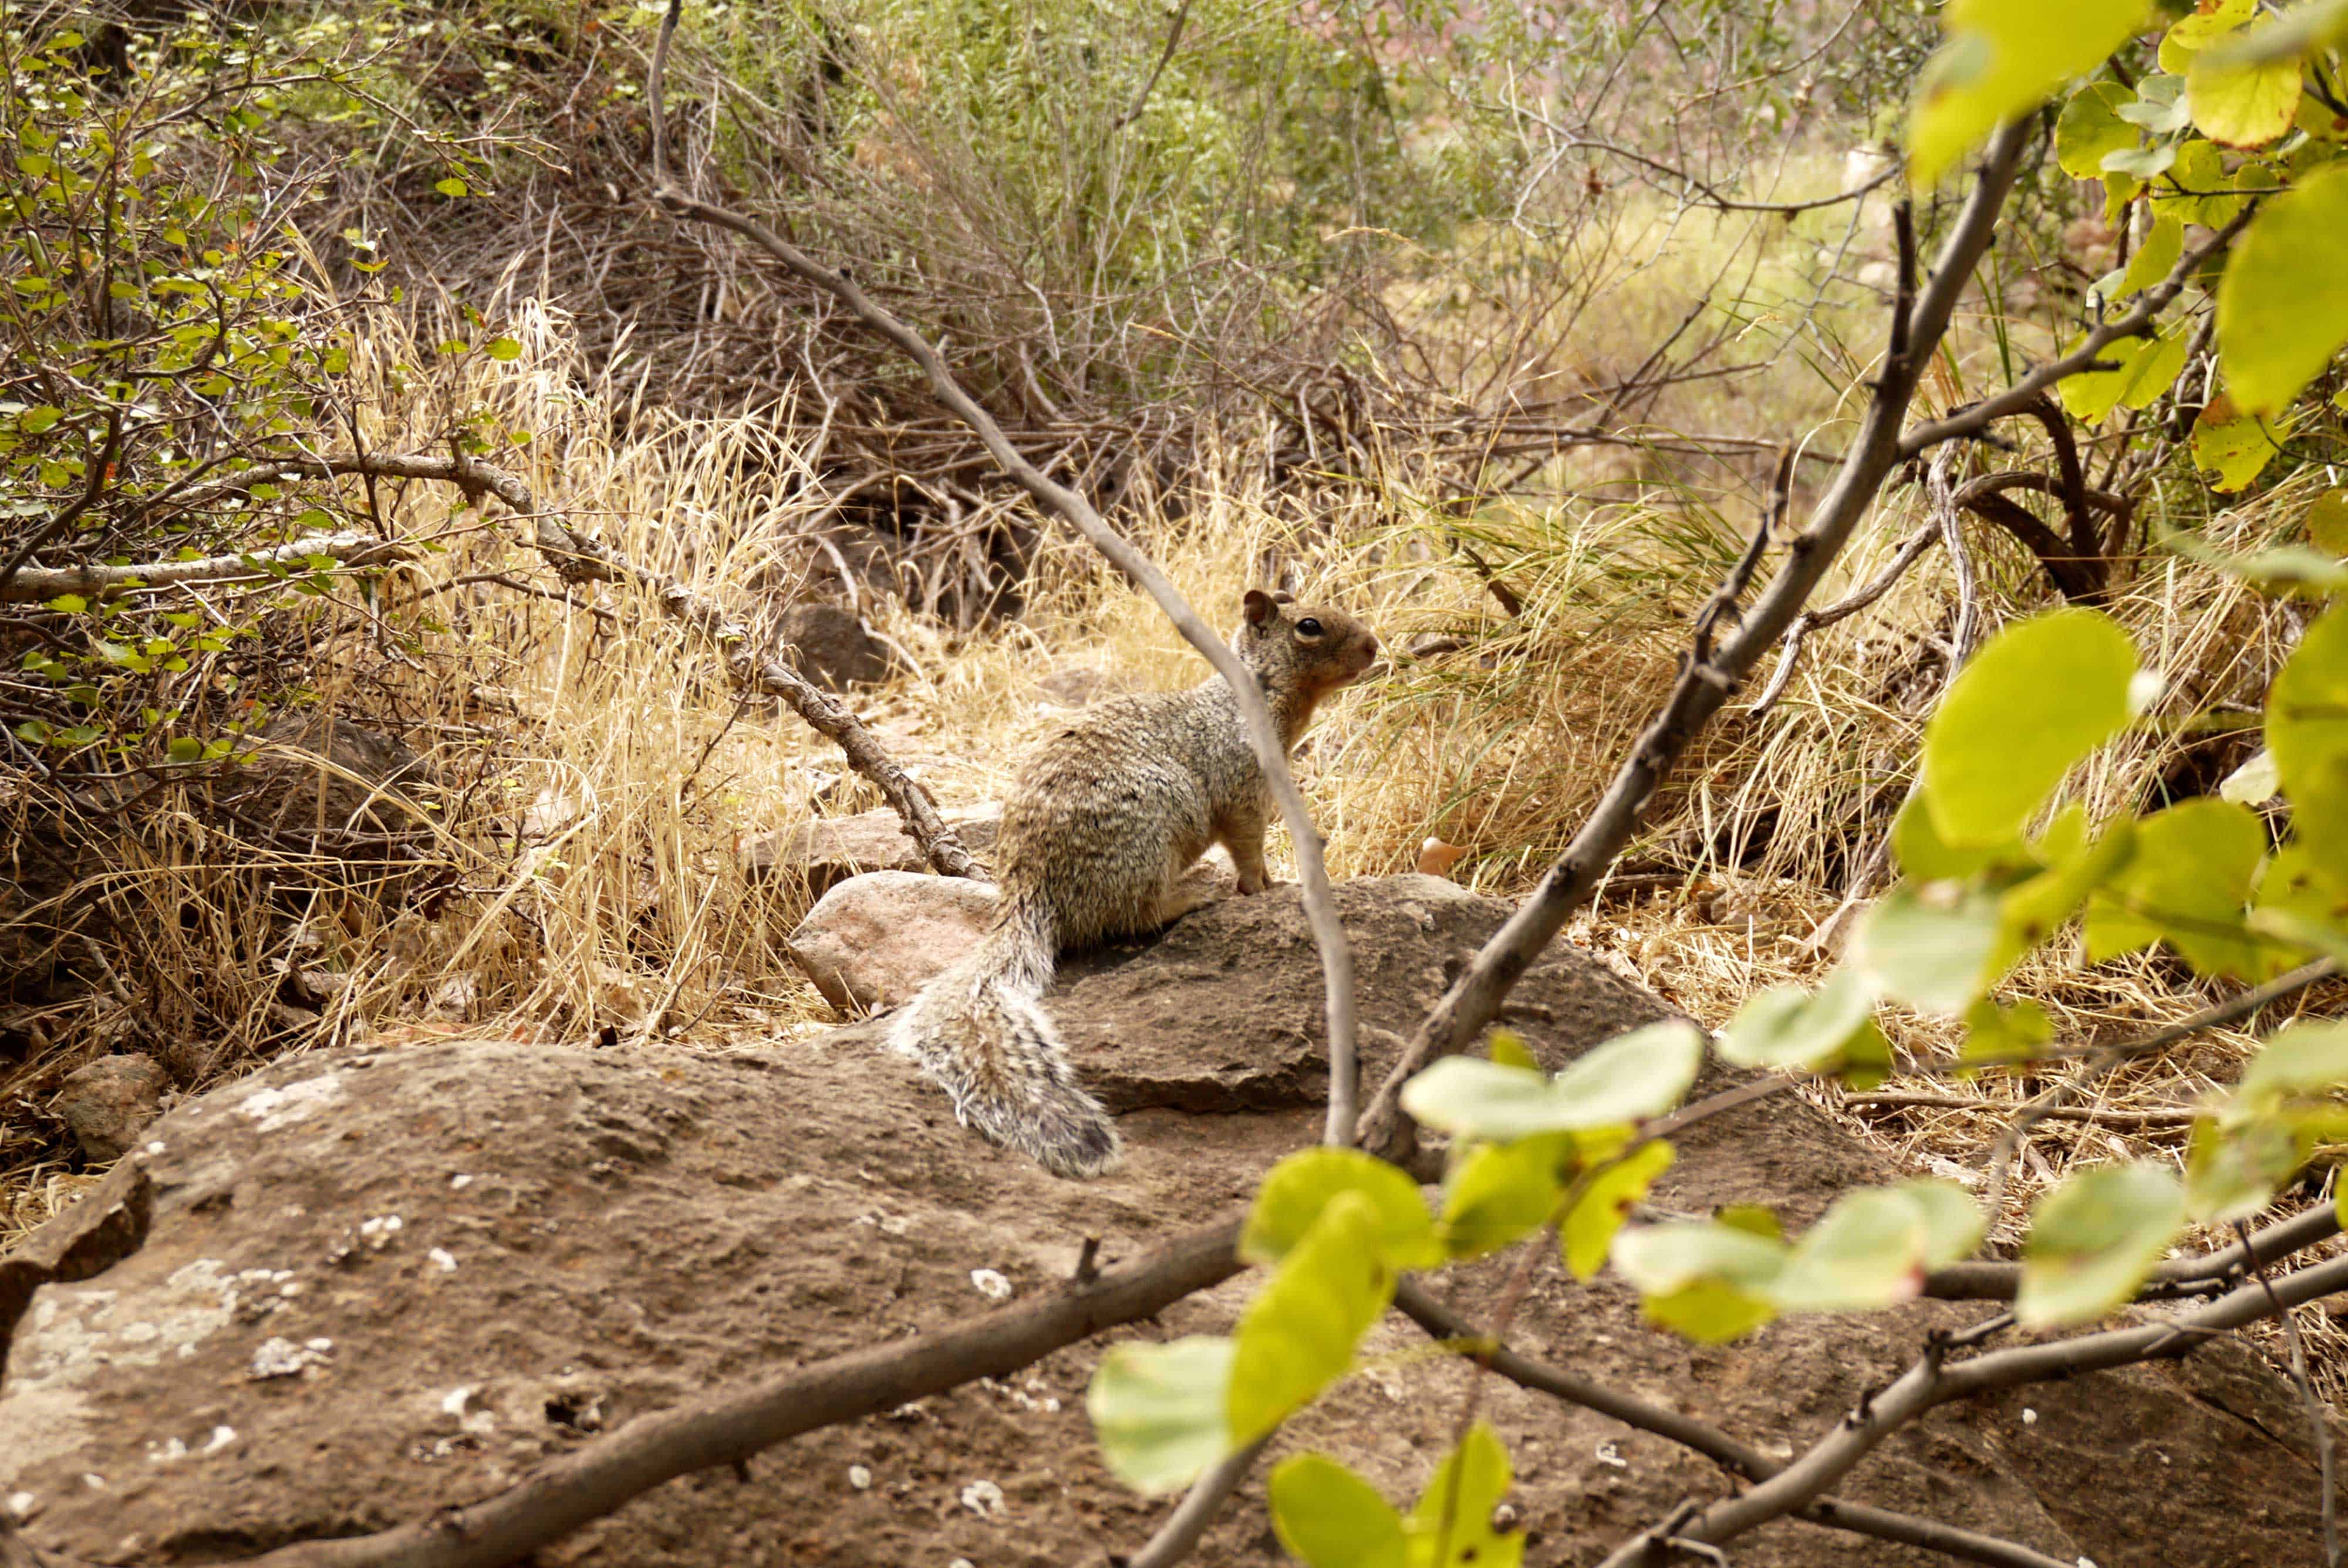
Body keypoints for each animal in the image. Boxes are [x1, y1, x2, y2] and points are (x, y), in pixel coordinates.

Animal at [888, 587, 1381, 1174]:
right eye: (1309, 626)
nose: (1374, 645)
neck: (1252, 698)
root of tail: (1030, 894)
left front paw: (1273, 883)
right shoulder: (1243, 793)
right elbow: (1247, 851)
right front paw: (1261, 889)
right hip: (1151, 837)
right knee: (1132, 917)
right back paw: (1191, 898)